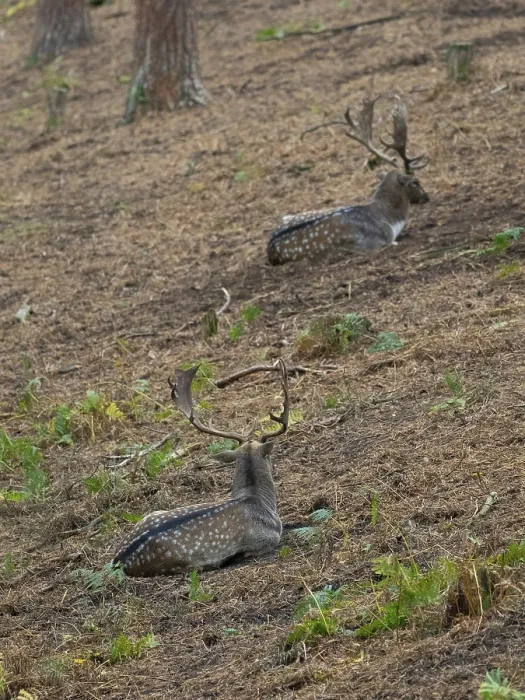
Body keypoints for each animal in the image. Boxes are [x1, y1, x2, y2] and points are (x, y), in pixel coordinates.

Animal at [111, 360, 290, 577]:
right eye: (270, 456)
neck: (257, 500)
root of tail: (118, 561)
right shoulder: (266, 540)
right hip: (183, 563)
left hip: (150, 515)